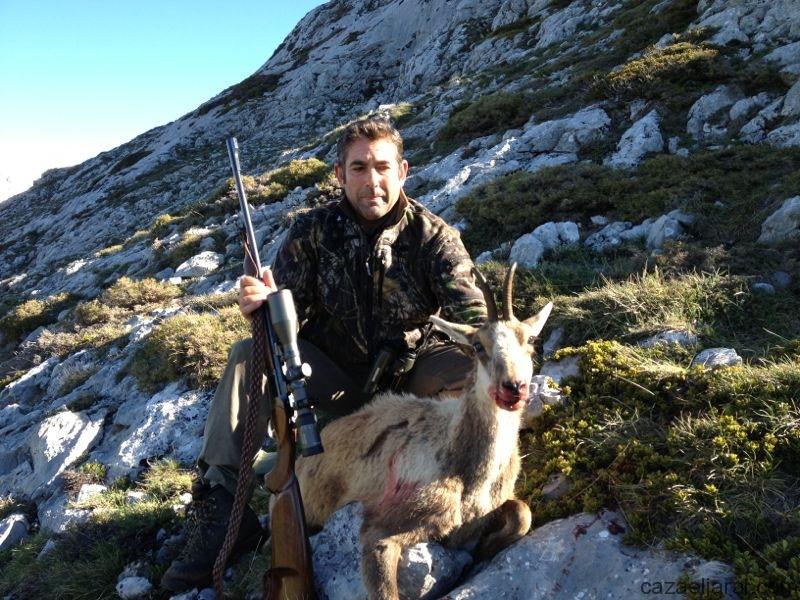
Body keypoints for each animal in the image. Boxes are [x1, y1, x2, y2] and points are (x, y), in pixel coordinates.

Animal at [295, 264, 553, 600]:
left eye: (530, 340)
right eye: (478, 346)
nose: (514, 388)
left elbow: (523, 513)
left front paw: (485, 547)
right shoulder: (387, 525)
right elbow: (383, 581)